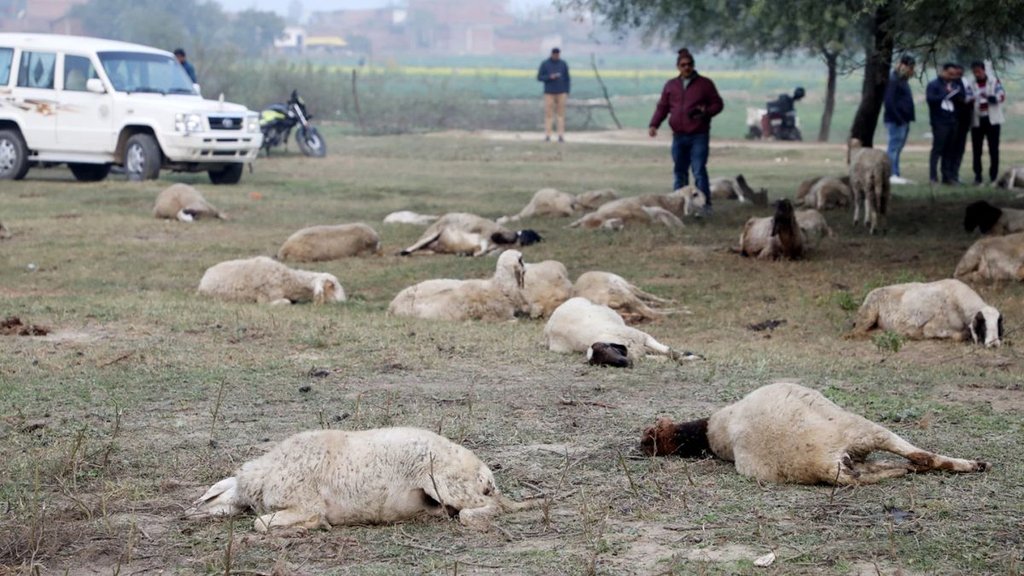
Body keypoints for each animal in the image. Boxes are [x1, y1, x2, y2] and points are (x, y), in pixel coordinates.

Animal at [187, 427, 542, 532]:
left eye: (209, 496)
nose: (187, 514)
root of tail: (485, 473)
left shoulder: (307, 503)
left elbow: (260, 523)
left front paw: (314, 526)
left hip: (449, 483)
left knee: (485, 508)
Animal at [400, 213, 541, 257]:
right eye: (529, 235)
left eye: (533, 238)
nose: (523, 242)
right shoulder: (486, 232)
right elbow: (482, 250)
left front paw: (467, 253)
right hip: (432, 233)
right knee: (411, 248)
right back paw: (402, 251)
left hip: (430, 249)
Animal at [544, 297, 700, 365]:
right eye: (605, 363)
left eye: (608, 349)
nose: (624, 363)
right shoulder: (638, 352)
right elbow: (662, 356)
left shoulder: (644, 337)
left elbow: (670, 351)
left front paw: (691, 357)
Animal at [640, 382, 991, 485]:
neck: (709, 431)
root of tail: (821, 463)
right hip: (863, 431)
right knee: (921, 456)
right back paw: (975, 464)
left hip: (852, 462)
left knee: (885, 470)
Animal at [852, 279, 1002, 347]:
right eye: (983, 325)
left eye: (998, 325)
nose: (994, 344)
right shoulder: (932, 328)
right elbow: (959, 336)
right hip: (868, 315)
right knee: (856, 332)